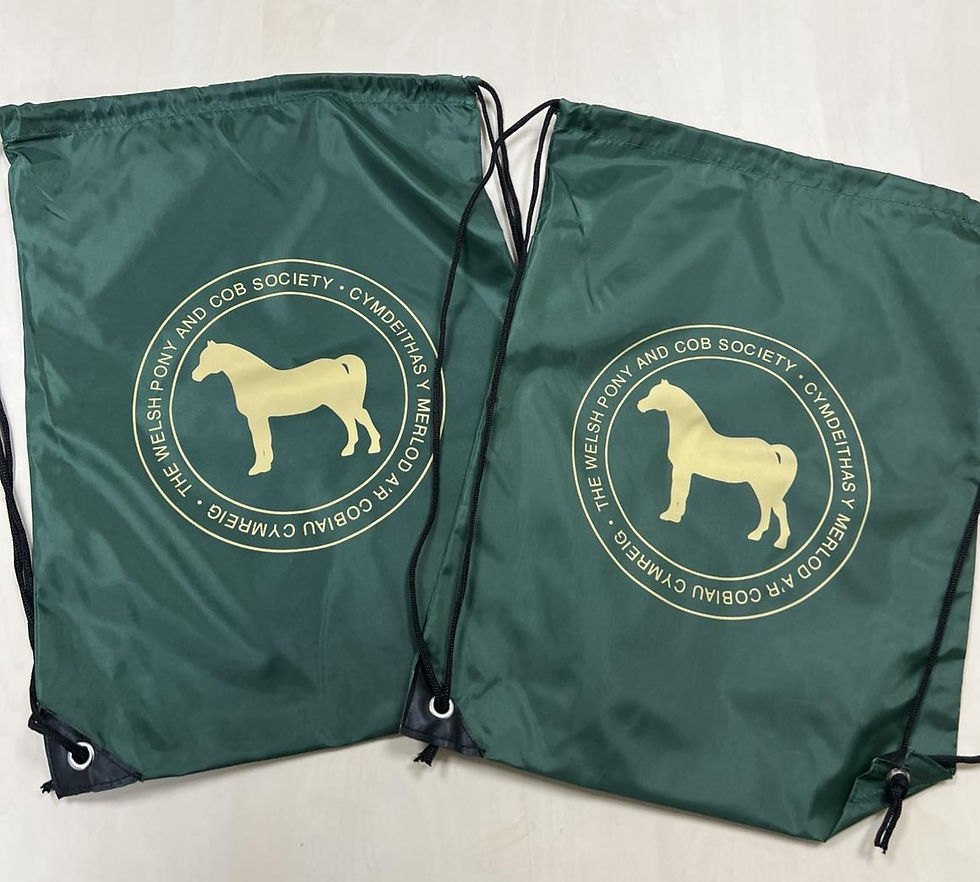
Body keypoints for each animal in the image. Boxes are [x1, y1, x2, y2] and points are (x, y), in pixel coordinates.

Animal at [191, 340, 382, 476]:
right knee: (350, 421)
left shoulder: (257, 417)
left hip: (340, 402)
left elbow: (260, 441)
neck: (253, 380)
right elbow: (263, 440)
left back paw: (373, 447)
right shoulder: (259, 418)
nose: (194, 376)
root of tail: (337, 362)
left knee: (362, 416)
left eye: (208, 358)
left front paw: (259, 467)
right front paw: (266, 465)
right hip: (339, 404)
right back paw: (349, 450)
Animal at [636, 379, 798, 550]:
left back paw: (779, 542)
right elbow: (681, 494)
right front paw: (674, 515)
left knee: (778, 508)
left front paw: (671, 516)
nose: (640, 405)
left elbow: (677, 494)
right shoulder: (684, 471)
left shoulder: (681, 470)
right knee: (767, 507)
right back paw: (757, 535)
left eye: (657, 394)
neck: (689, 434)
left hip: (762, 485)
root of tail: (770, 448)